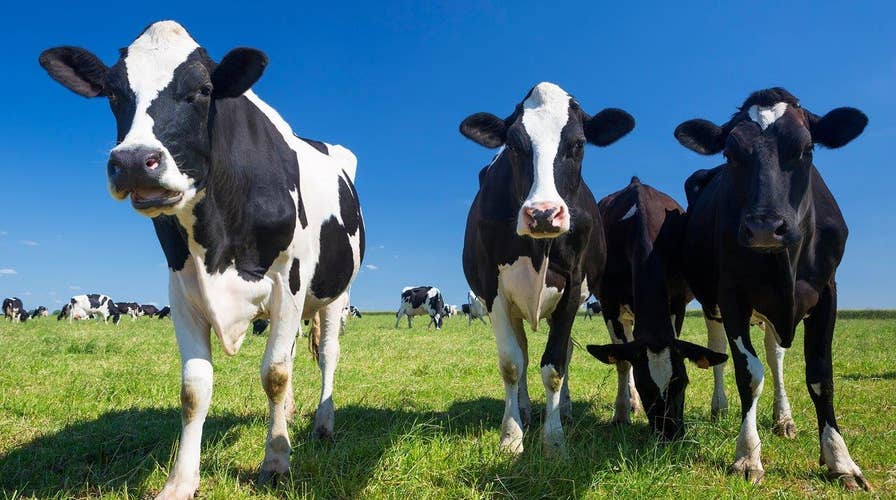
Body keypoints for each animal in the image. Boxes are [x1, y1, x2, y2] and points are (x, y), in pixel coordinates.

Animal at [40, 20, 365, 497]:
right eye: (114, 92)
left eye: (203, 90)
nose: (134, 161)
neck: (216, 238)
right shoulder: (182, 288)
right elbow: (194, 388)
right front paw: (181, 480)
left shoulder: (288, 281)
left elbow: (274, 373)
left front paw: (276, 461)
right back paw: (287, 417)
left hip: (334, 294)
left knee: (327, 354)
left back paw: (322, 424)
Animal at [460, 82, 634, 456]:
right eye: (513, 144)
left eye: (579, 143)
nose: (542, 214)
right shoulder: (493, 289)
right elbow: (512, 364)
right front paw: (511, 435)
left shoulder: (573, 285)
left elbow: (554, 366)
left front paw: (554, 440)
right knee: (523, 353)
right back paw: (524, 409)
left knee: (563, 352)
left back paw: (565, 409)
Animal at [585, 177, 727, 438]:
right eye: (644, 387)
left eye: (682, 381)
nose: (669, 433)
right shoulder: (609, 306)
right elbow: (622, 361)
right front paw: (622, 413)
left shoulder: (677, 302)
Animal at [673, 87, 869, 489]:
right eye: (730, 153)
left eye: (807, 148)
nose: (764, 227)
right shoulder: (732, 296)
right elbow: (749, 374)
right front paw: (747, 455)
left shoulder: (828, 292)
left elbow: (820, 375)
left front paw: (840, 459)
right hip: (713, 300)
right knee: (719, 348)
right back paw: (720, 407)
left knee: (775, 356)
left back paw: (784, 419)